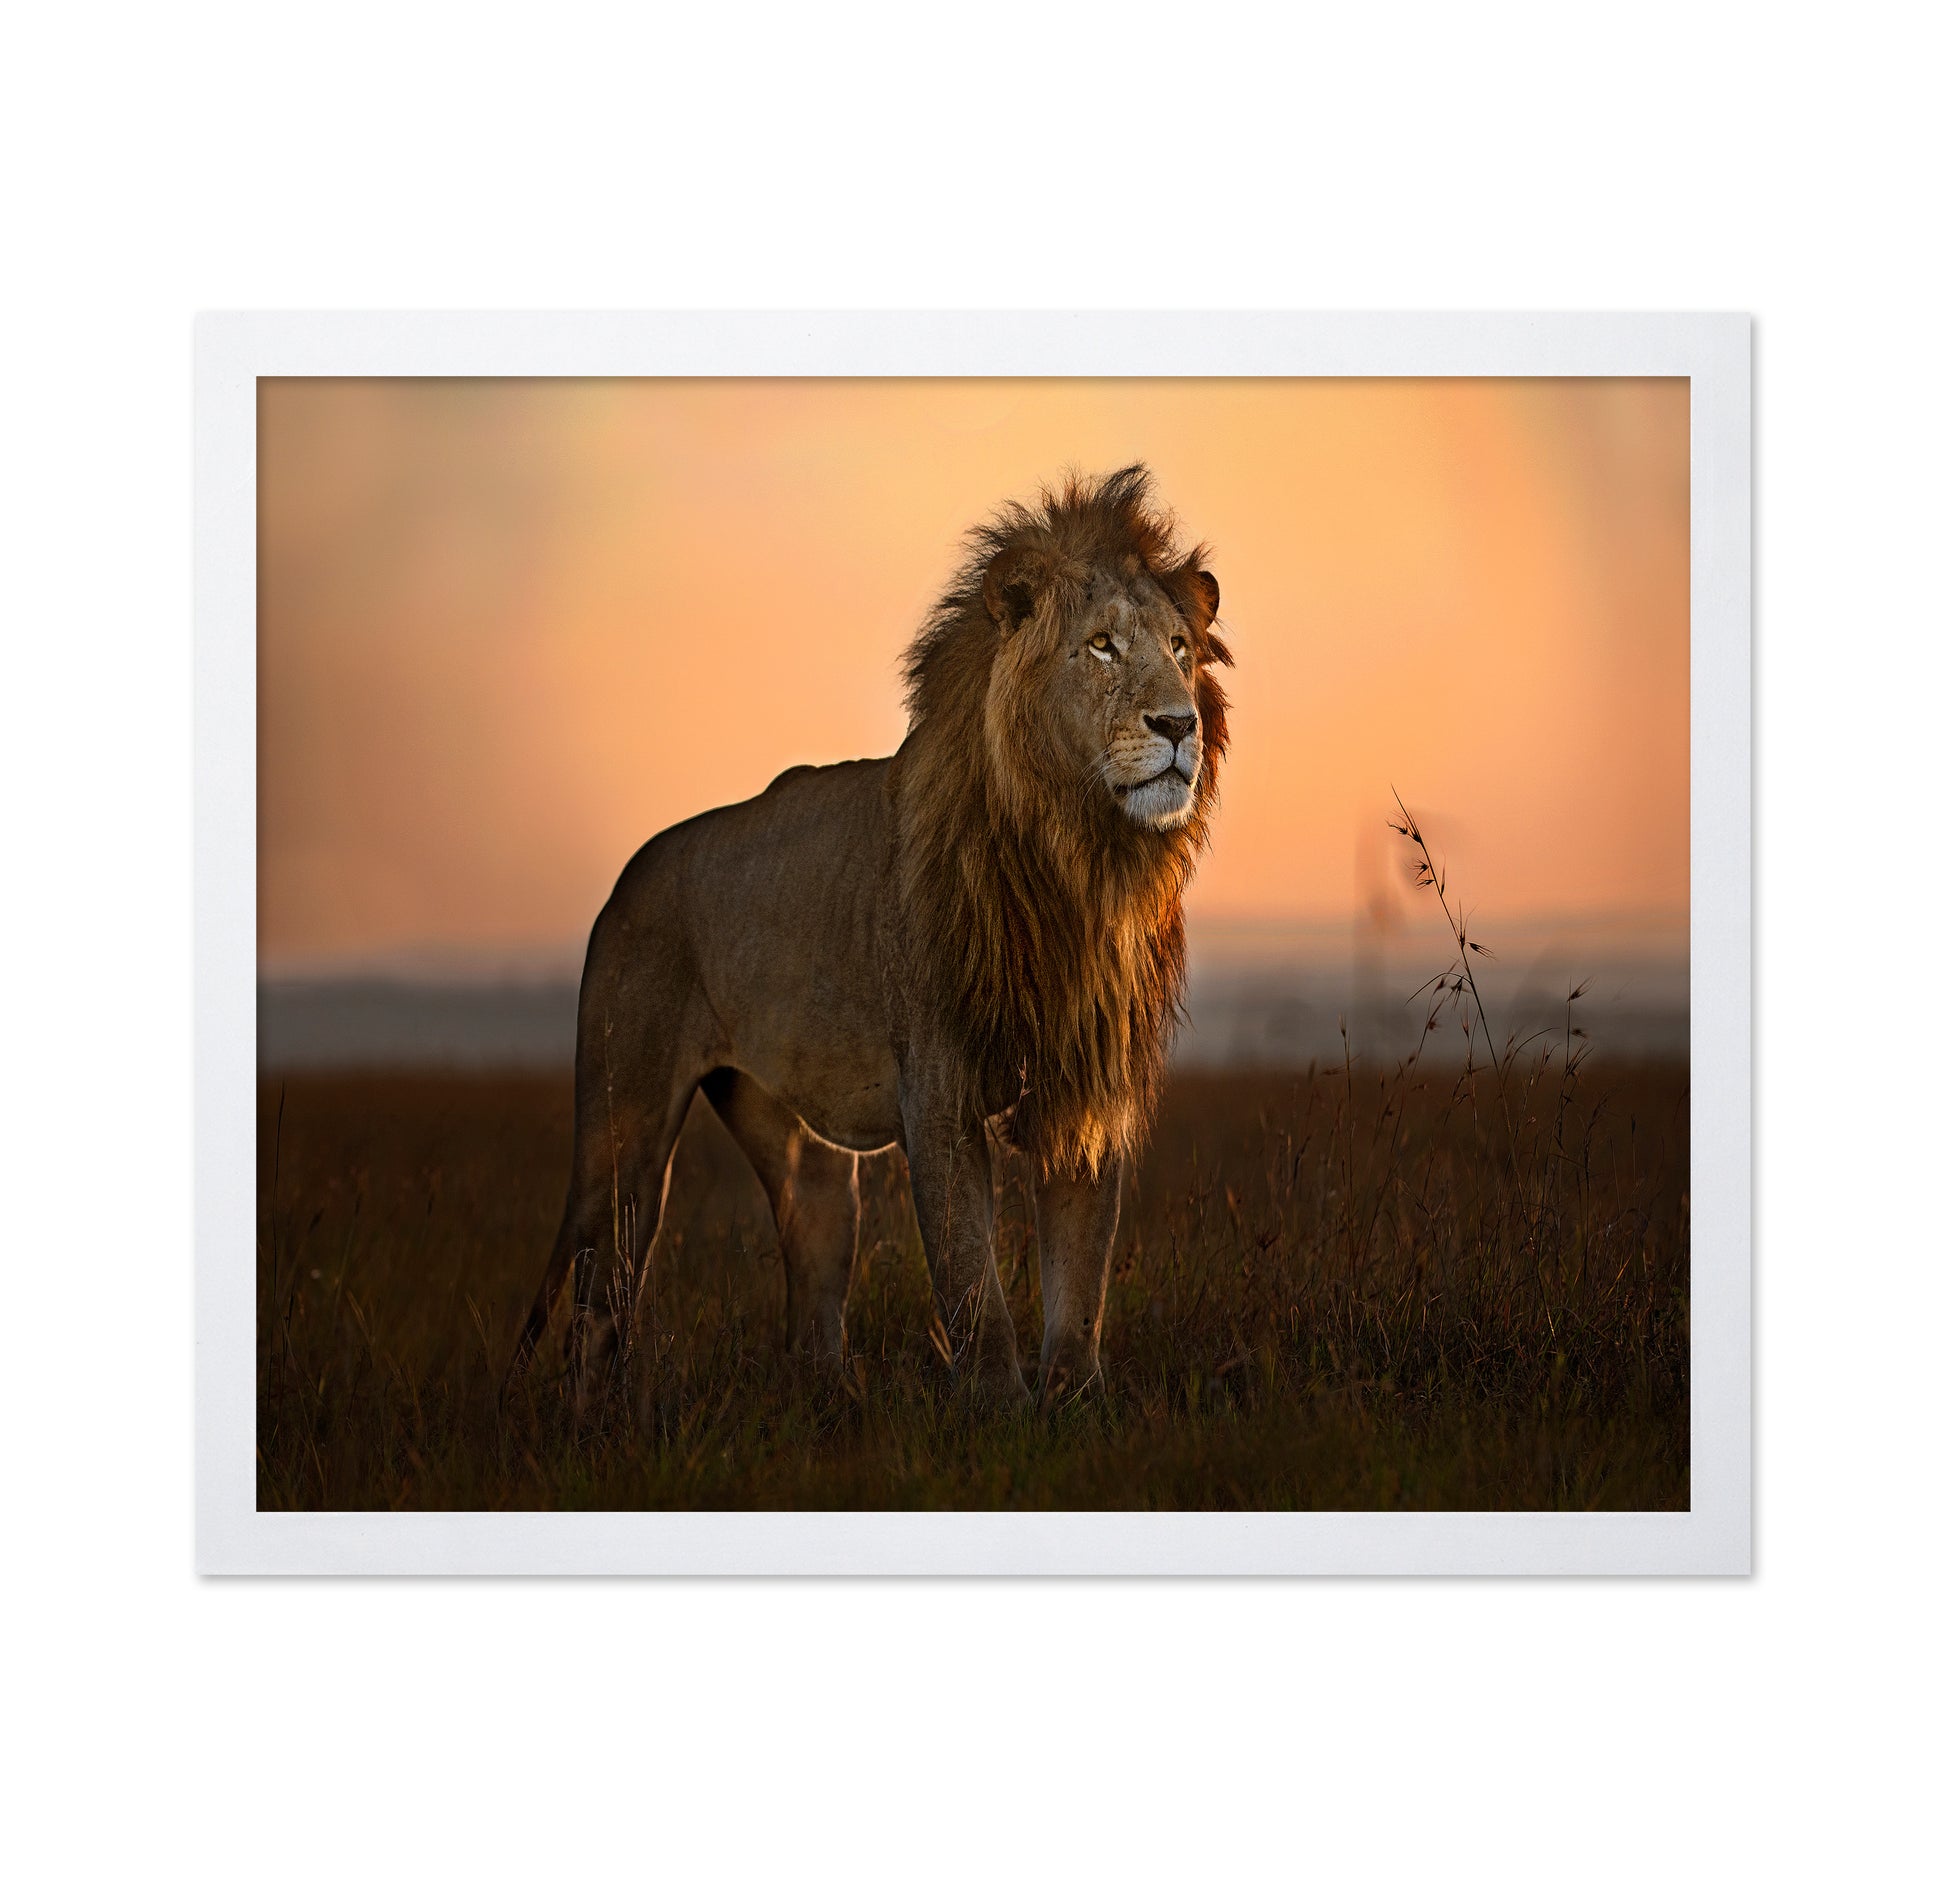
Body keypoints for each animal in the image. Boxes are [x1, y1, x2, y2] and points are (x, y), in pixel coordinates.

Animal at [506, 463, 1231, 1411]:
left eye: (1180, 648)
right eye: (1102, 646)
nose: (1179, 725)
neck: (1076, 860)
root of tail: (629, 879)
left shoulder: (1083, 1084)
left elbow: (1081, 1273)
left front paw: (1076, 1403)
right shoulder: (939, 1088)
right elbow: (969, 1273)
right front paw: (998, 1405)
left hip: (800, 1152)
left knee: (812, 1280)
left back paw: (829, 1403)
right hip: (621, 1132)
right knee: (601, 1293)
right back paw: (598, 1419)